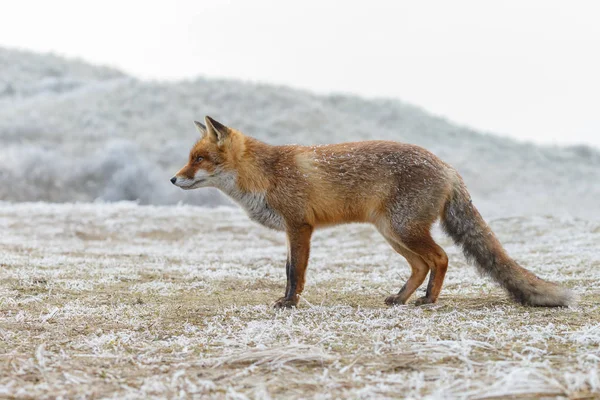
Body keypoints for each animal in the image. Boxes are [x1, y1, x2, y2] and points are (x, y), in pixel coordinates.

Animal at [171, 115, 576, 310]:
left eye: (199, 159)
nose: (173, 179)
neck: (266, 174)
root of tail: (448, 167)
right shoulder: (291, 230)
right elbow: (288, 271)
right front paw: (287, 301)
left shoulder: (300, 226)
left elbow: (295, 273)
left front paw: (290, 304)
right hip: (392, 232)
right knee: (421, 265)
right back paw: (401, 298)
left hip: (403, 229)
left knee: (441, 258)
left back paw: (428, 300)